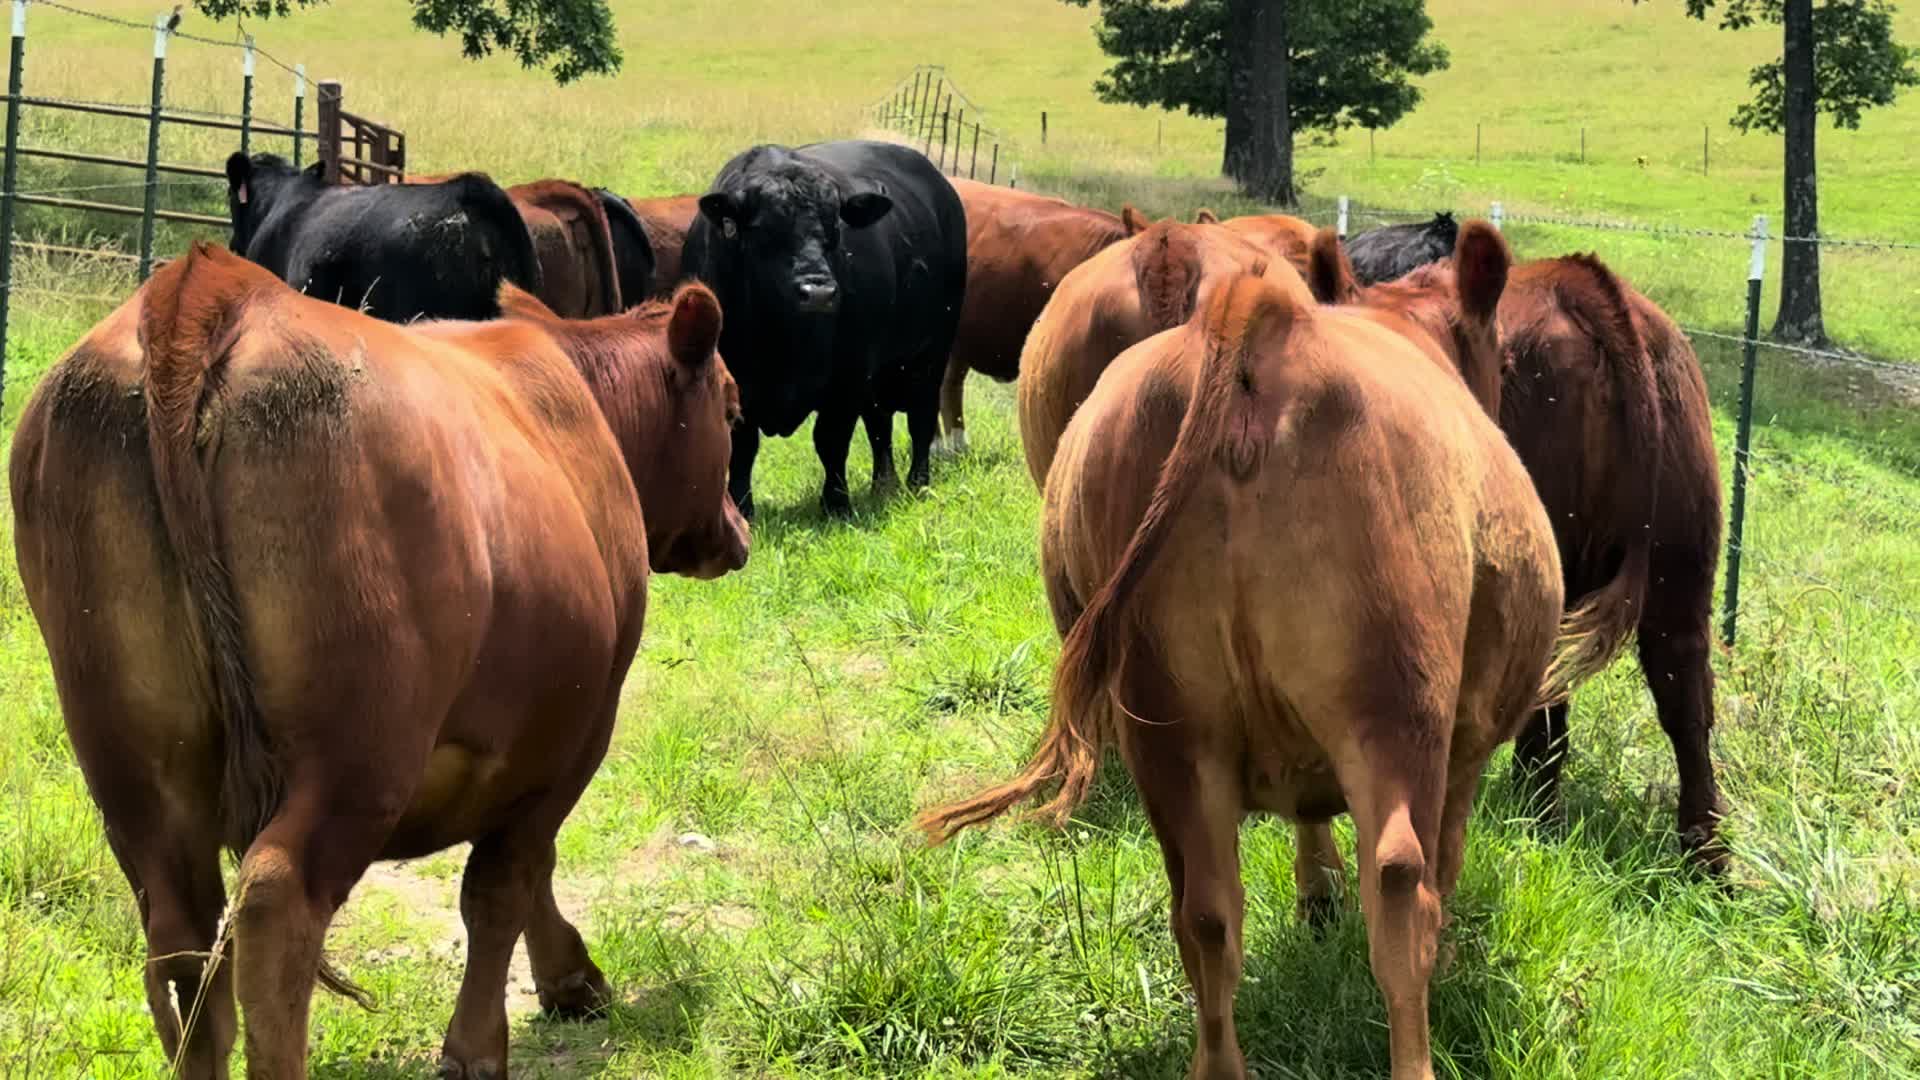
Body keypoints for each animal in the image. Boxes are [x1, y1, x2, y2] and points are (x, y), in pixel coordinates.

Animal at [8, 242, 748, 1078]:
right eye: (731, 409)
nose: (737, 531)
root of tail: (215, 287)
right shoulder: (575, 729)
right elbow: (506, 881)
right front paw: (484, 1042)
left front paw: (570, 979)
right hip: (359, 751)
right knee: (277, 906)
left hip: (133, 766)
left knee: (182, 937)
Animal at [684, 140, 968, 518]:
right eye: (763, 229)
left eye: (834, 228)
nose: (818, 292)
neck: (783, 335)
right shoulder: (733, 378)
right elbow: (743, 448)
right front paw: (742, 508)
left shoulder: (849, 375)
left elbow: (831, 440)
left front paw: (836, 504)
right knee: (880, 426)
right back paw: (883, 485)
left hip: (931, 354)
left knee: (920, 418)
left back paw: (917, 483)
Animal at [919, 250, 1604, 1080]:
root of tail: (1259, 326)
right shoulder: (1465, 744)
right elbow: (1442, 858)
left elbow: (1307, 817)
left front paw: (1316, 898)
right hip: (1394, 706)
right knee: (1401, 889)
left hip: (1170, 732)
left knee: (1207, 916)